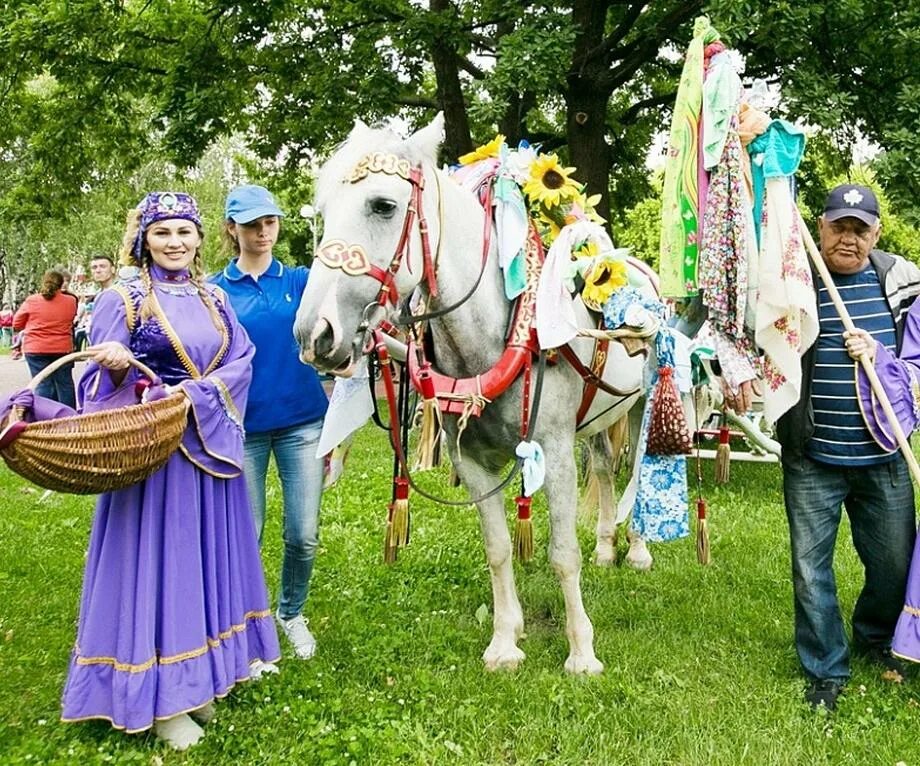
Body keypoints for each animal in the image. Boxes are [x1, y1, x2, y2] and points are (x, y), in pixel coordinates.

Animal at [294, 114, 656, 672]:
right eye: (325, 211)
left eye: (383, 205)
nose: (315, 335)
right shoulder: (471, 459)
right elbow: (498, 548)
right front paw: (506, 641)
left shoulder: (554, 451)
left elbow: (561, 555)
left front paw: (581, 651)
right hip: (598, 419)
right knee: (601, 467)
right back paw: (605, 547)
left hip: (639, 408)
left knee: (635, 470)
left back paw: (635, 550)